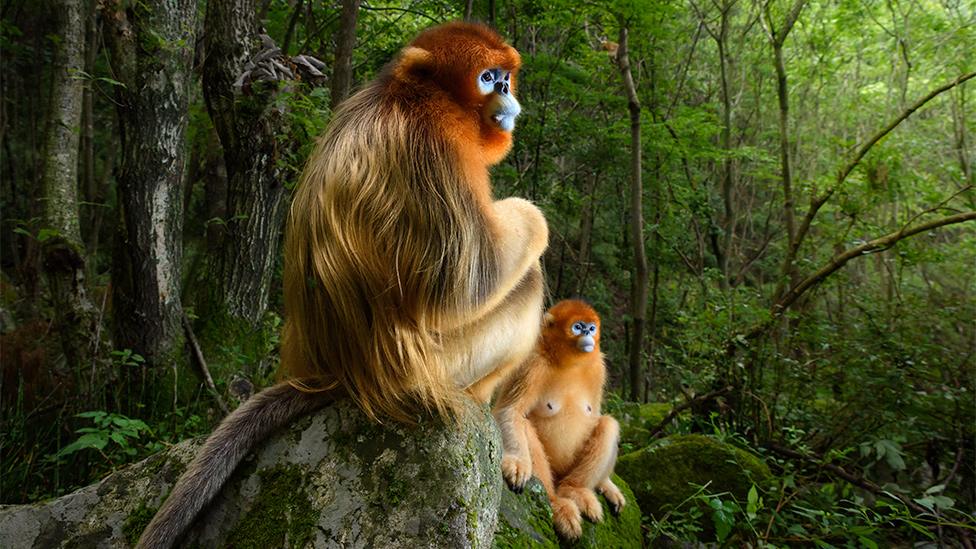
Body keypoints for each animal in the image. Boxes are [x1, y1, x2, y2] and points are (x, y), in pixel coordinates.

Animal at [136, 22, 548, 548]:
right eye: (487, 77)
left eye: (505, 77)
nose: (506, 91)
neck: (408, 95)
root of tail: (337, 374)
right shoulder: (436, 141)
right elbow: (467, 283)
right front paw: (531, 216)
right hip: (441, 364)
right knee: (526, 280)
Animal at [496, 302, 624, 536]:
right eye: (578, 327)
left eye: (592, 328)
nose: (587, 333)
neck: (569, 363)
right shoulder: (532, 364)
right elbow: (510, 411)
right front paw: (517, 462)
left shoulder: (598, 367)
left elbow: (596, 415)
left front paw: (606, 484)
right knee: (524, 425)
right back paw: (557, 503)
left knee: (608, 424)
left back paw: (576, 490)